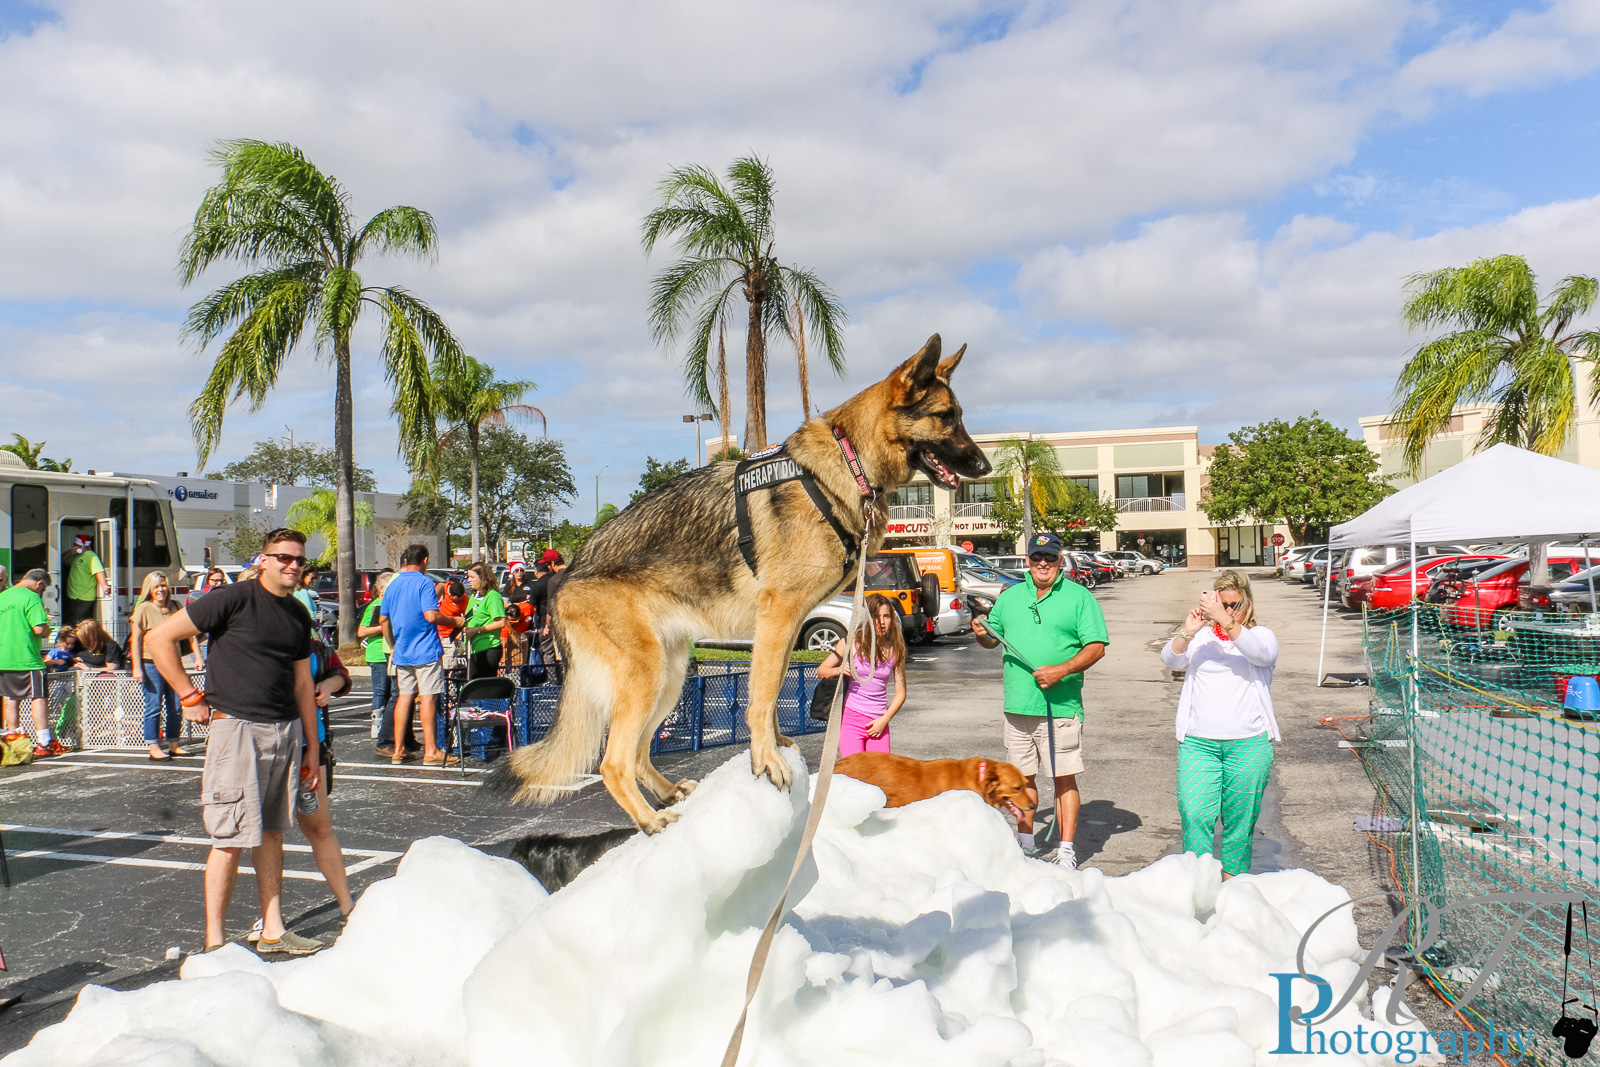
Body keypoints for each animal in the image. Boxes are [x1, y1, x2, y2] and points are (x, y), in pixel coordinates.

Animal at [499, 335, 992, 831]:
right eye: (946, 416)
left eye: (959, 415)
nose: (985, 466)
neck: (846, 461)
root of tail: (568, 575)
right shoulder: (778, 615)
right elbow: (762, 695)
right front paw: (766, 761)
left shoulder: (787, 625)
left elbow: (770, 693)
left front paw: (775, 748)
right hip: (645, 675)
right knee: (613, 762)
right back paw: (650, 819)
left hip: (669, 677)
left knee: (637, 754)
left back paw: (667, 794)